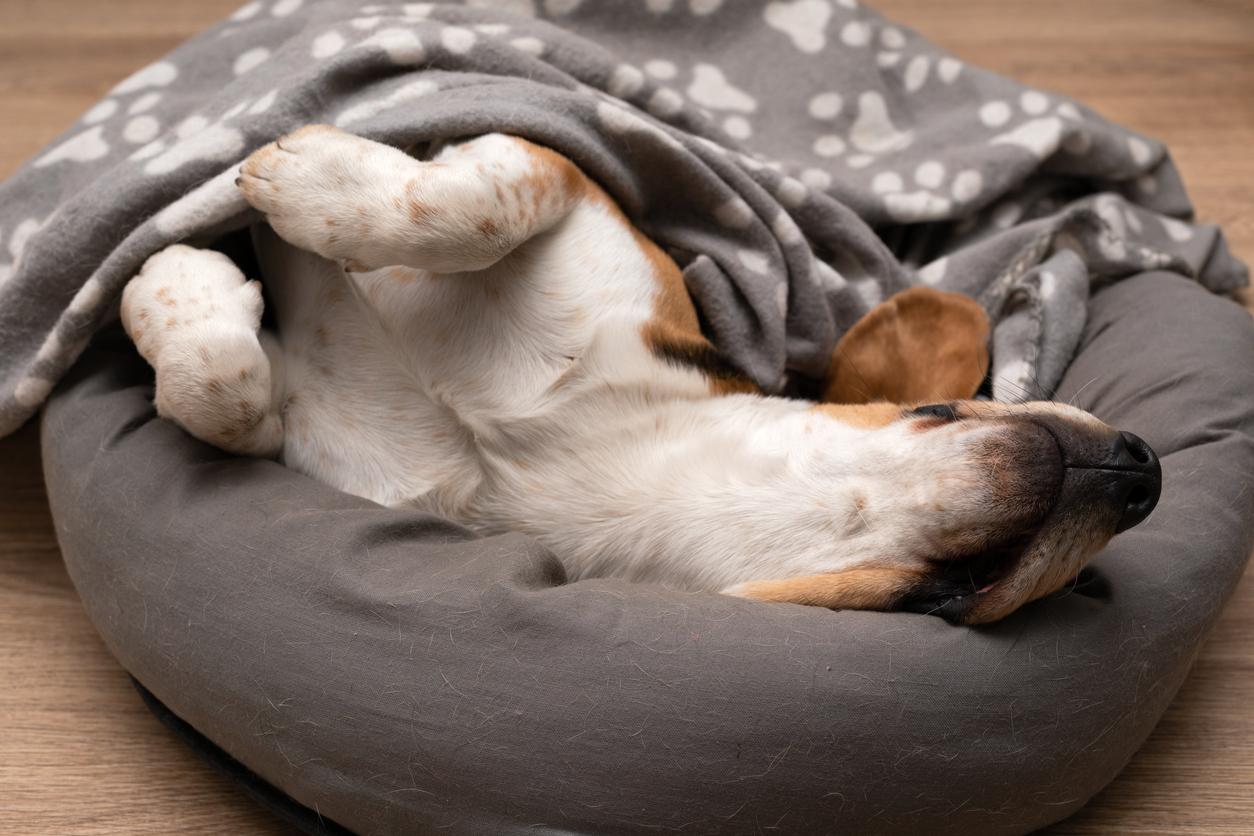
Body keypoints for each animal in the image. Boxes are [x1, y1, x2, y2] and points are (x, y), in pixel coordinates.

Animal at [122, 124, 1158, 621]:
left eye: (956, 597)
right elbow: (466, 208)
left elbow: (230, 397)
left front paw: (184, 282)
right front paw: (302, 193)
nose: (1143, 472)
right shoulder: (570, 187)